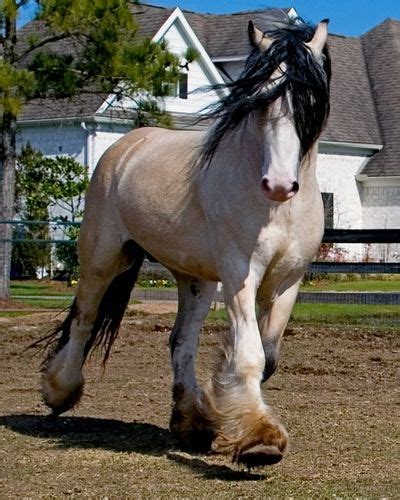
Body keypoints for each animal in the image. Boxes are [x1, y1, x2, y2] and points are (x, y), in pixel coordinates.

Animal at [36, 15, 332, 468]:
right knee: (85, 320)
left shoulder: (287, 282)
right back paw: (59, 392)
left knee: (181, 341)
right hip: (104, 259)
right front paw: (259, 441)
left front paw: (227, 417)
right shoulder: (240, 274)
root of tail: (126, 145)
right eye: (258, 100)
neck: (276, 210)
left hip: (195, 279)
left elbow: (268, 357)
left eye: (309, 100)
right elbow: (249, 352)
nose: (279, 185)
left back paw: (191, 420)